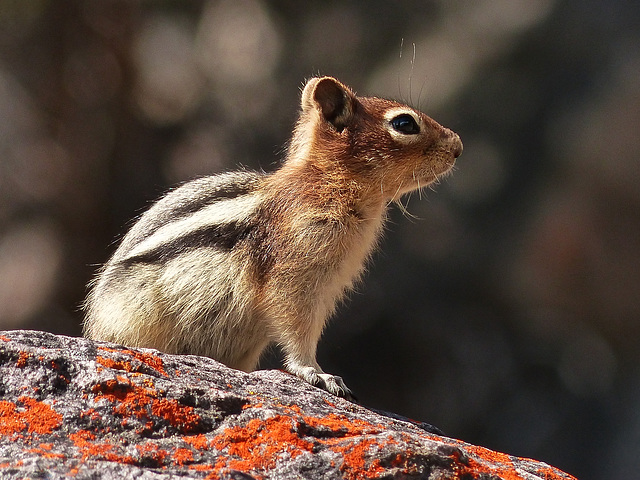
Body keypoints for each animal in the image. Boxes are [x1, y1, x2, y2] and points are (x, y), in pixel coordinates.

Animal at [82, 76, 462, 398]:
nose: (458, 145)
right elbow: (297, 330)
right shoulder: (293, 273)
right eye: (404, 124)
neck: (329, 185)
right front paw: (317, 373)